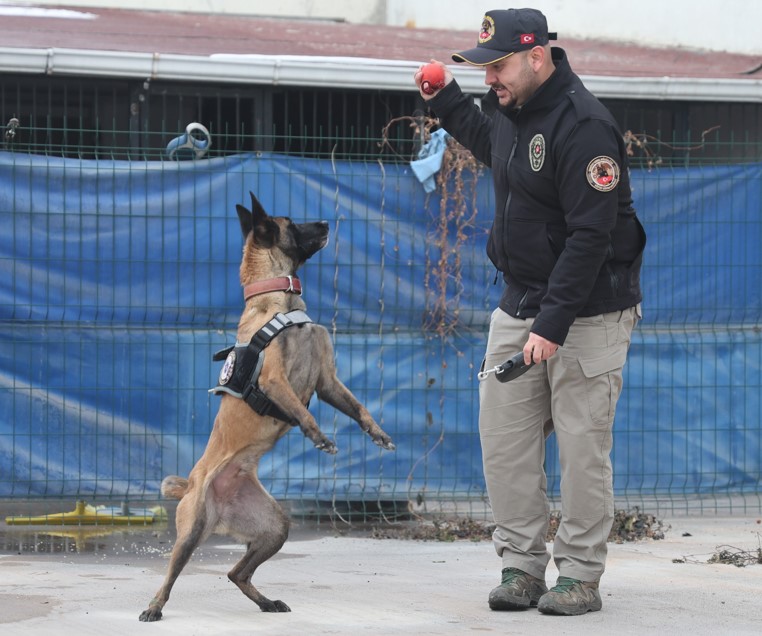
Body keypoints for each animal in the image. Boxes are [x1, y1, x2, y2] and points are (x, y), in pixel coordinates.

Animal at [139, 194, 394, 620]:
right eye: (291, 222)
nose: (326, 222)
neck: (280, 301)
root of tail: (196, 487)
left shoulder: (328, 382)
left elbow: (358, 407)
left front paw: (377, 433)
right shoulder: (276, 381)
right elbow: (302, 411)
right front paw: (319, 437)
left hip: (274, 527)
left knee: (236, 572)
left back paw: (266, 601)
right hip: (192, 531)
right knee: (171, 575)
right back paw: (154, 606)